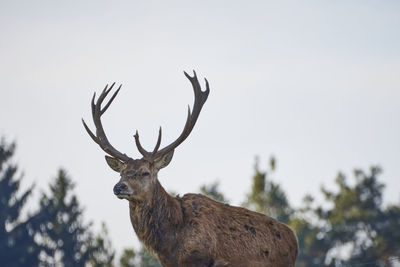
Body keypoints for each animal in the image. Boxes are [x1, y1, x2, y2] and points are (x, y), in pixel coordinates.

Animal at [83, 71, 298, 267]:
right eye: (121, 172)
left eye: (145, 172)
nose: (119, 187)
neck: (171, 242)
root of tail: (294, 240)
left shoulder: (198, 259)